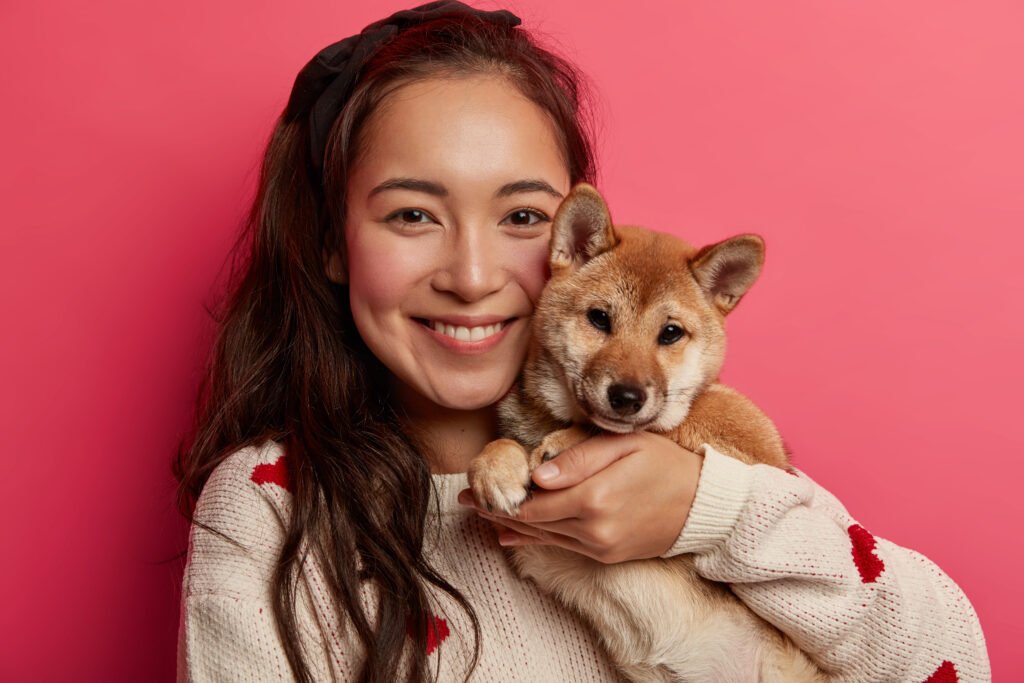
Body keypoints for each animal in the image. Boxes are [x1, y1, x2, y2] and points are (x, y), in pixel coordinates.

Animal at [468, 183, 827, 683]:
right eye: (600, 319)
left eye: (671, 333)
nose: (626, 396)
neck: (557, 418)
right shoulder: (542, 552)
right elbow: (503, 445)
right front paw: (495, 469)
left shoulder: (756, 441)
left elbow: (673, 420)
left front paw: (566, 443)